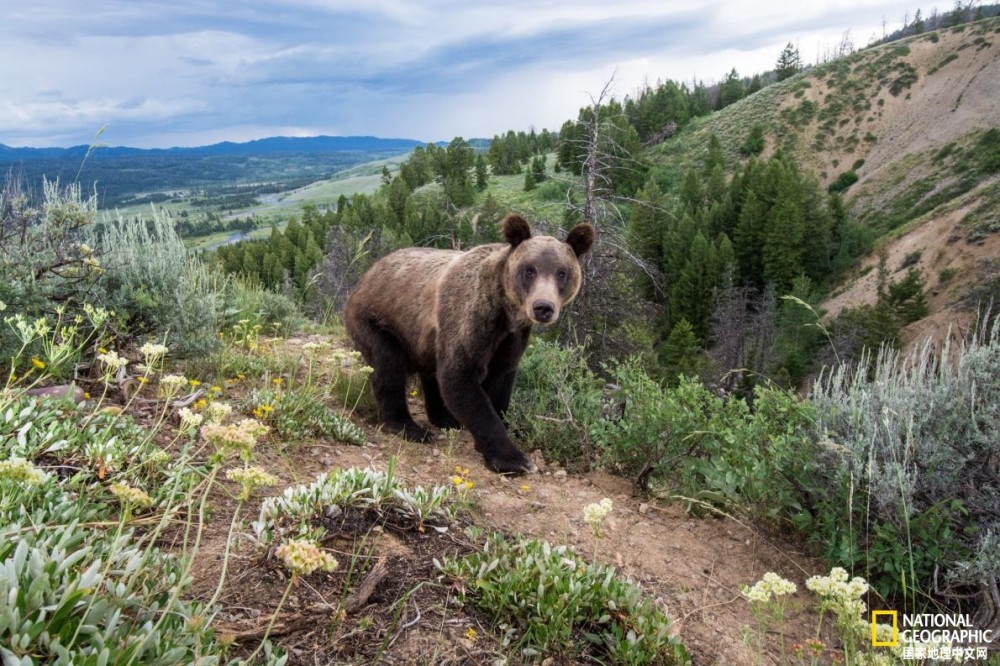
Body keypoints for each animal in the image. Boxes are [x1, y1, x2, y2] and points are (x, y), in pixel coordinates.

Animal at [344, 214, 592, 472]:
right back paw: (409, 427)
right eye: (529, 269)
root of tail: (368, 272)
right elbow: (460, 377)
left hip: (426, 338)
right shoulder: (471, 317)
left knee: (430, 371)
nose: (543, 307)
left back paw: (444, 418)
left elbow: (501, 379)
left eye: (561, 272)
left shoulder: (512, 338)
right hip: (377, 319)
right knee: (388, 365)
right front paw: (513, 459)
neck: (505, 311)